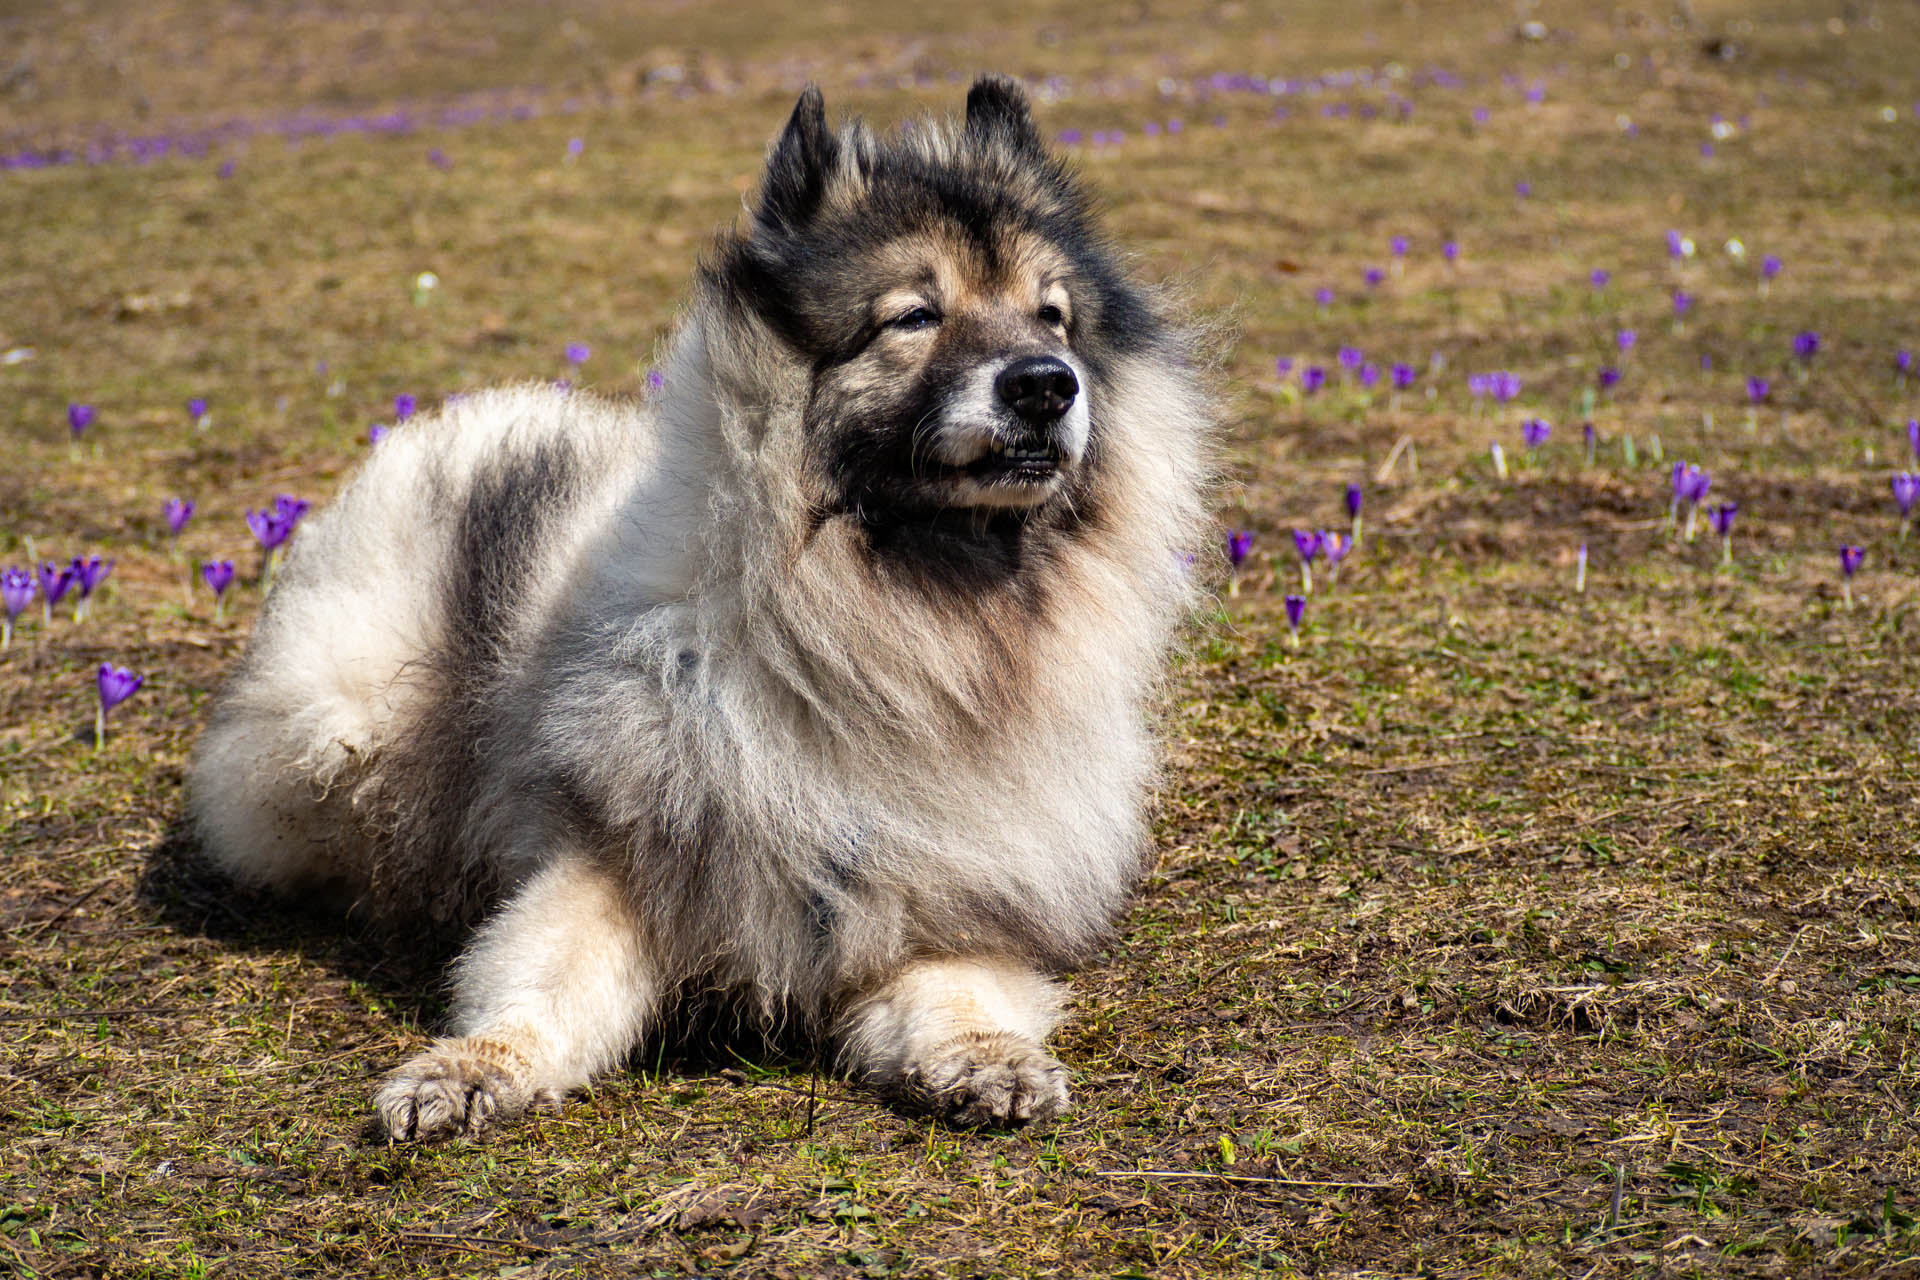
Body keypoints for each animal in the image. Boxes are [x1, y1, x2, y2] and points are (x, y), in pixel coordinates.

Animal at [191, 77, 1213, 1143]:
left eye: (1052, 317)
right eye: (914, 317)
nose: (1047, 386)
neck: (893, 633)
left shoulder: (941, 898)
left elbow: (961, 990)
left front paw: (990, 1061)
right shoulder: (616, 858)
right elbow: (538, 984)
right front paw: (469, 1071)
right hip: (331, 729)